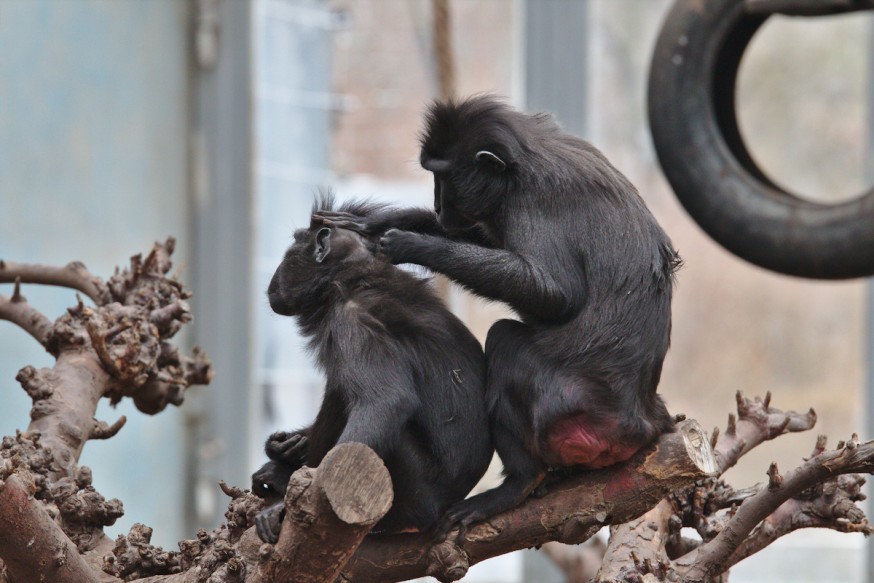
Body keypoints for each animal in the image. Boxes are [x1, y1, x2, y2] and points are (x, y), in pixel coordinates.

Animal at [250, 198, 490, 544]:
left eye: (294, 243)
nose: (277, 272)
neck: (351, 278)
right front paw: (287, 445)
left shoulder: (351, 321)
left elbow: (386, 402)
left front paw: (281, 505)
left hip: (414, 499)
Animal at [316, 94, 676, 532]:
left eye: (444, 178)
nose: (437, 204)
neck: (524, 157)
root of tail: (638, 420)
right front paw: (386, 220)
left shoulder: (532, 201)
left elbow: (556, 294)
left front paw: (414, 244)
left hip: (568, 406)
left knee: (505, 340)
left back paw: (518, 483)